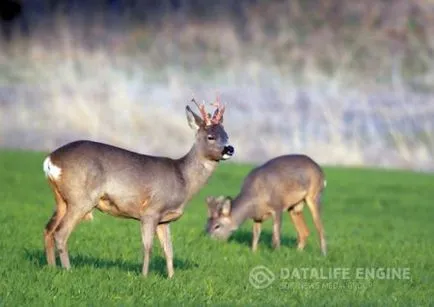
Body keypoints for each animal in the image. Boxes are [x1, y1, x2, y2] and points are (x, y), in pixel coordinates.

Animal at [41, 98, 234, 280]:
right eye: (210, 136)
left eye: (226, 135)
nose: (230, 149)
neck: (183, 179)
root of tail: (50, 160)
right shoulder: (150, 211)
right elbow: (148, 247)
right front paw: (144, 277)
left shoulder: (165, 219)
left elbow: (169, 250)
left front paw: (172, 278)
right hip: (81, 198)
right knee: (61, 233)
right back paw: (68, 270)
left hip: (62, 200)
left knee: (48, 229)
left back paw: (52, 268)